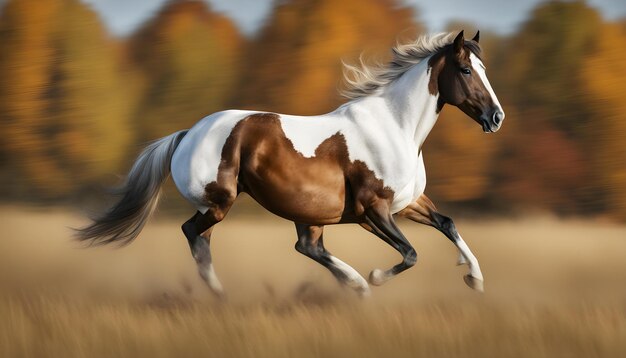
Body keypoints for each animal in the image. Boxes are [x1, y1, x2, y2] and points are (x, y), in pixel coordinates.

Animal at [77, 32, 502, 298]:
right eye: (466, 70)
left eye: (484, 70)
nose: (496, 117)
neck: (395, 127)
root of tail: (186, 134)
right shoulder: (373, 210)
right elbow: (410, 253)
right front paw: (376, 277)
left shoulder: (408, 203)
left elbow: (448, 223)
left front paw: (475, 279)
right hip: (220, 202)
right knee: (194, 234)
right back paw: (221, 294)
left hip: (302, 211)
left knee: (303, 246)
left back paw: (353, 286)